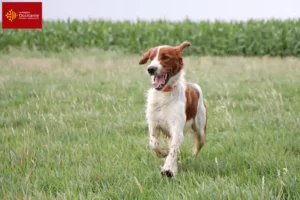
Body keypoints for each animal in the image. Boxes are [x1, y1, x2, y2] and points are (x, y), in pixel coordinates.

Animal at [138, 41, 206, 177]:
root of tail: (194, 85)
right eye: (151, 58)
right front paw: (163, 153)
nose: (151, 69)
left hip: (200, 129)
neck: (164, 93)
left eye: (165, 57)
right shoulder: (154, 124)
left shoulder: (176, 129)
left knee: (198, 144)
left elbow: (173, 150)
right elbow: (154, 143)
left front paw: (168, 169)